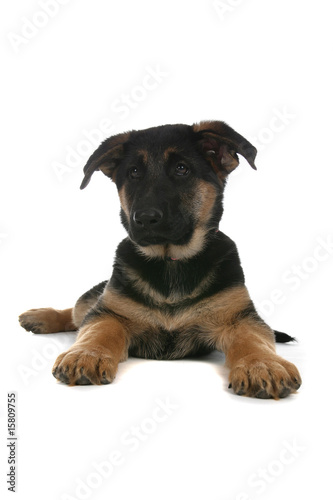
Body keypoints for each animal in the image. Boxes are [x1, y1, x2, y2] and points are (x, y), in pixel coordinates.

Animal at [19, 120, 302, 398]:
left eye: (181, 169)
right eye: (133, 172)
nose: (144, 218)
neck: (170, 261)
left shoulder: (239, 318)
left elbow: (254, 340)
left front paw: (263, 365)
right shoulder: (110, 312)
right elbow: (97, 330)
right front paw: (86, 354)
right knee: (78, 311)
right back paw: (41, 317)